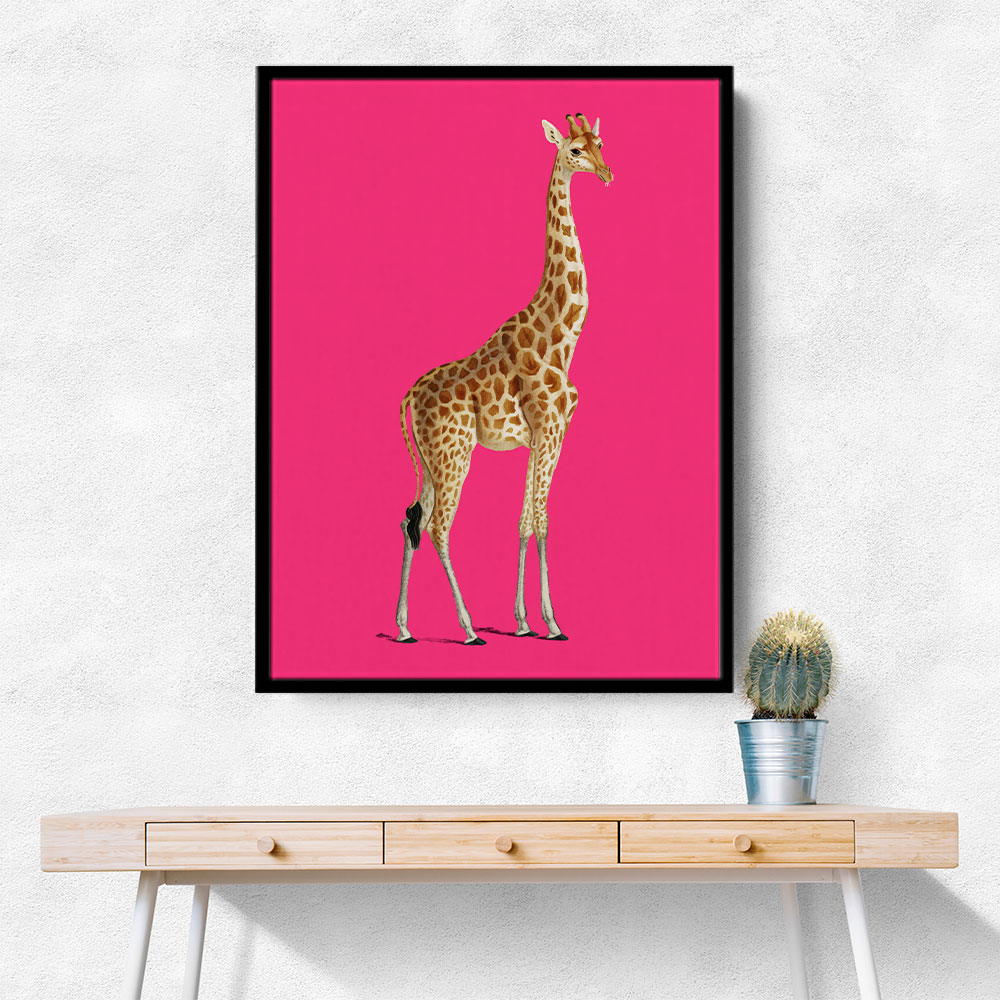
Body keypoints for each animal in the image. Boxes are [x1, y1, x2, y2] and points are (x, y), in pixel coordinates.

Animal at [394, 112, 613, 645]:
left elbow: (524, 521)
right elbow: (543, 519)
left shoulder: (541, 436)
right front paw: (552, 623)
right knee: (438, 527)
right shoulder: (550, 429)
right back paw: (469, 628)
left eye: (600, 142)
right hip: (454, 454)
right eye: (575, 150)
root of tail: (410, 395)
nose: (606, 174)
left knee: (412, 519)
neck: (562, 336)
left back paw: (405, 627)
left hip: (433, 460)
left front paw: (523, 621)